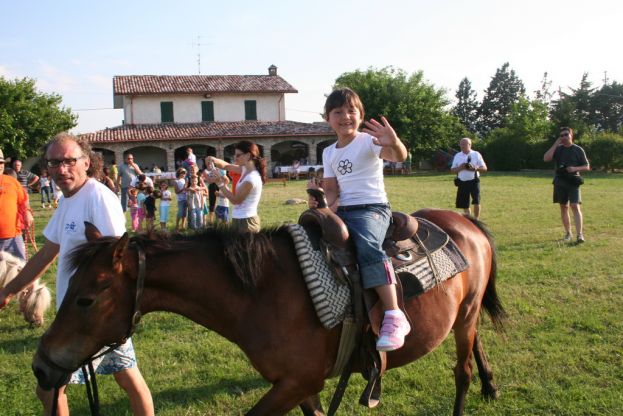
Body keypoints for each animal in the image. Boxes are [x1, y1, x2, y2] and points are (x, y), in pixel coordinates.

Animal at [31, 210, 508, 414]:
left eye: (86, 298)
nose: (41, 365)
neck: (263, 291)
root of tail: (463, 221)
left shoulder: (297, 382)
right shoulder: (299, 385)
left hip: (466, 316)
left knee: (461, 373)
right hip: (464, 316)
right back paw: (490, 385)